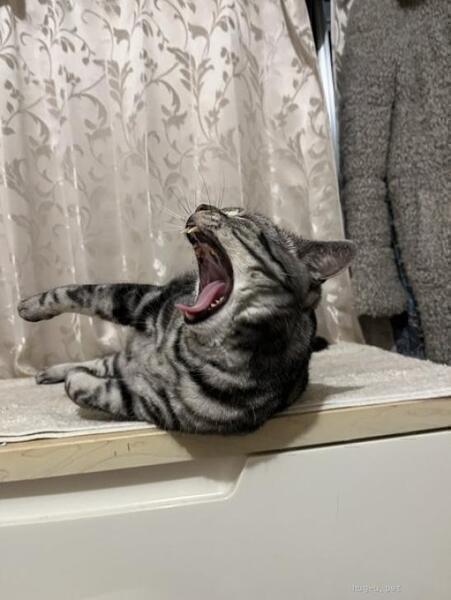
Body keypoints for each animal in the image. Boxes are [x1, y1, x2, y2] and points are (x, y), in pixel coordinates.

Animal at [18, 204, 355, 434]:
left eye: (241, 216)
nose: (203, 205)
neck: (188, 346)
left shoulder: (156, 405)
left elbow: (86, 387)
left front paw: (79, 379)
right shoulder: (142, 300)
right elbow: (78, 292)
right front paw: (29, 307)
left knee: (104, 365)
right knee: (104, 360)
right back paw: (49, 371)